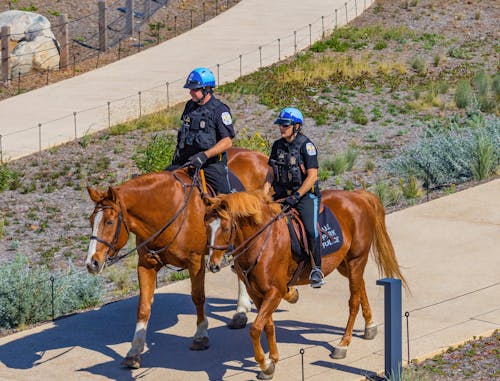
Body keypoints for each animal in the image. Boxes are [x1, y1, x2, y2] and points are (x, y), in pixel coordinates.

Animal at [84, 147, 268, 366]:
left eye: (110, 222)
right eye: (91, 220)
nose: (92, 262)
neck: (167, 211)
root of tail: (259, 156)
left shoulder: (195, 261)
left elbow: (198, 297)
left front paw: (200, 335)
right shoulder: (146, 265)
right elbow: (143, 306)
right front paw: (134, 350)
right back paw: (241, 311)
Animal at [203, 189, 406, 378]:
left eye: (225, 228)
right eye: (206, 227)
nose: (213, 265)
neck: (261, 242)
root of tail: (358, 195)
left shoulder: (275, 291)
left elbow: (255, 328)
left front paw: (265, 364)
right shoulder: (256, 292)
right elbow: (267, 325)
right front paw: (273, 359)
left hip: (356, 260)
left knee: (354, 301)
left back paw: (343, 344)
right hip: (345, 264)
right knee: (361, 286)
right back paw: (370, 326)